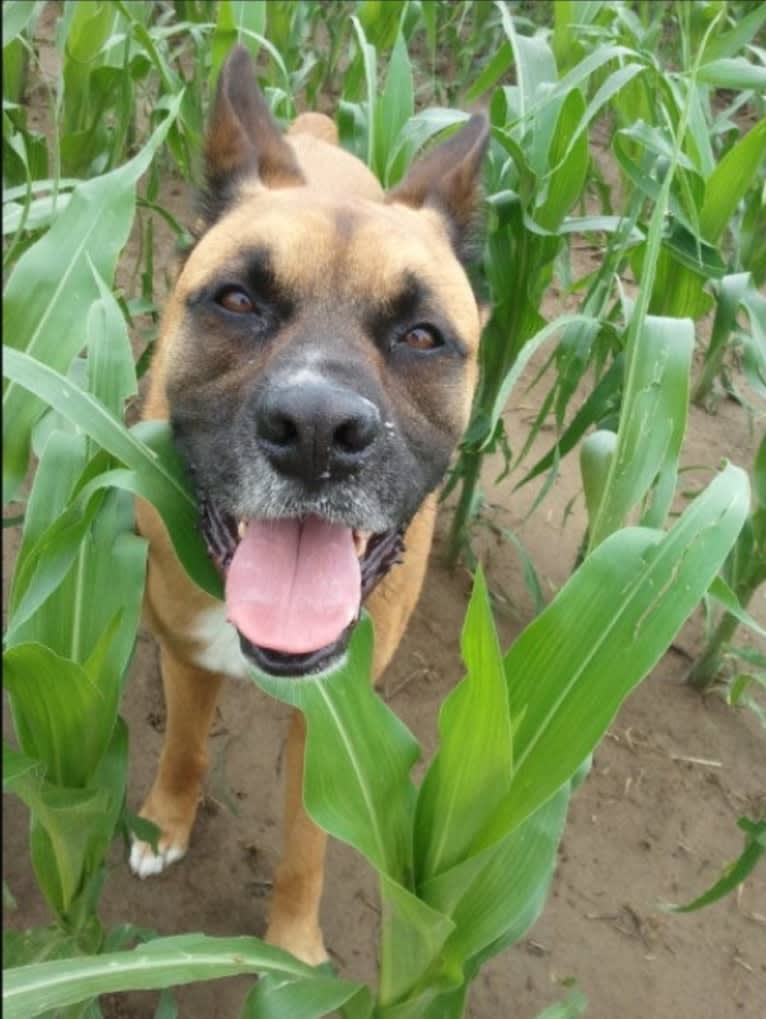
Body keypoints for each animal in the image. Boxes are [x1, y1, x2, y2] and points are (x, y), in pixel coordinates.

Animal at [131, 45, 486, 961]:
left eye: (423, 336)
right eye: (237, 300)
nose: (319, 432)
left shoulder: (336, 722)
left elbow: (311, 842)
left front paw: (290, 949)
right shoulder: (185, 653)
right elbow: (183, 748)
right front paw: (162, 823)